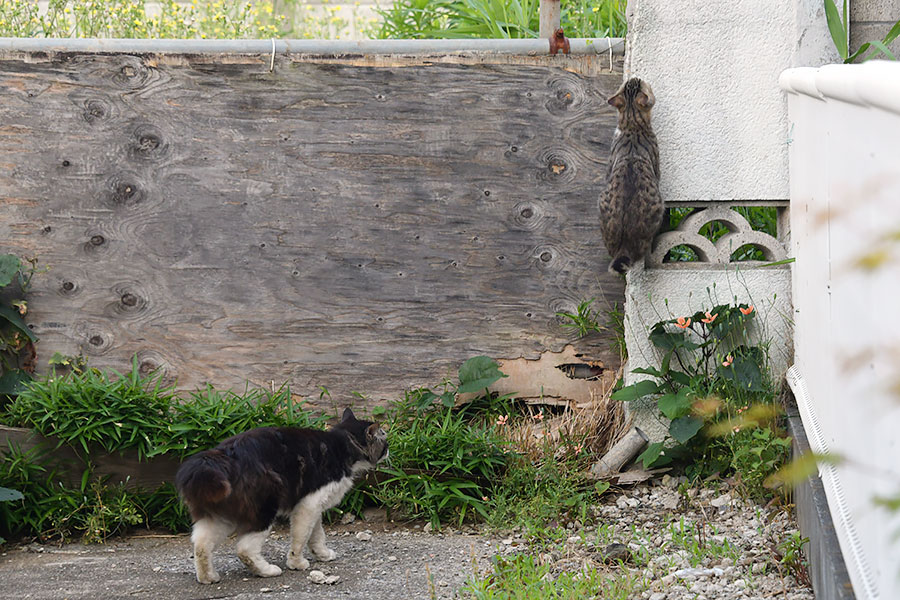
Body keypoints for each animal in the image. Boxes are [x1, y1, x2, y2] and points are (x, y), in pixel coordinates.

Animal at [175, 410, 386, 584]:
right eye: (385, 439)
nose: (389, 448)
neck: (342, 444)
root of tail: (222, 456)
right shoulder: (308, 505)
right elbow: (301, 537)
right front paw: (296, 563)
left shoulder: (313, 505)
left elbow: (317, 535)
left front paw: (322, 554)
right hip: (263, 510)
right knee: (245, 549)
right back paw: (266, 570)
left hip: (219, 518)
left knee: (201, 546)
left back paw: (208, 577)